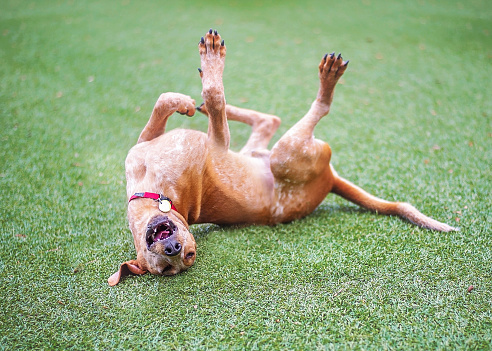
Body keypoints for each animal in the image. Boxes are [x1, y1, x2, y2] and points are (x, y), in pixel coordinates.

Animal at [108, 30, 458, 288]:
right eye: (167, 268)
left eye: (189, 254)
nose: (174, 249)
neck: (155, 194)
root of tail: (330, 181)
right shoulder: (217, 144)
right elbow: (212, 96)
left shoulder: (157, 145)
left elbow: (171, 101)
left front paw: (185, 98)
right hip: (285, 155)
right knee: (310, 110)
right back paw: (327, 81)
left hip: (263, 151)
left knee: (267, 119)